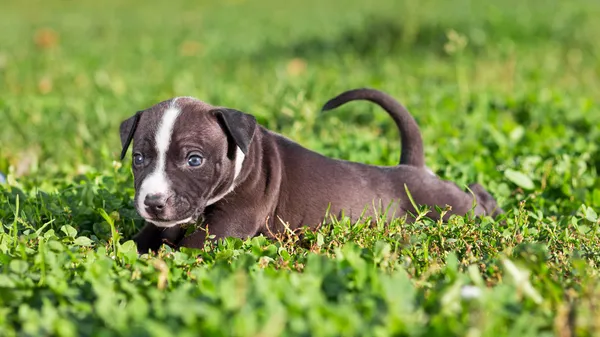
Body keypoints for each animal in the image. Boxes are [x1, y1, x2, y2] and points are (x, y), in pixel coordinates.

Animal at [117, 88, 502, 251]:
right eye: (139, 159)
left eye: (194, 160)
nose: (153, 203)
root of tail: (411, 165)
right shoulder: (161, 224)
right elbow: (140, 241)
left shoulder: (229, 225)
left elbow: (190, 248)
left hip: (444, 206)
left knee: (473, 198)